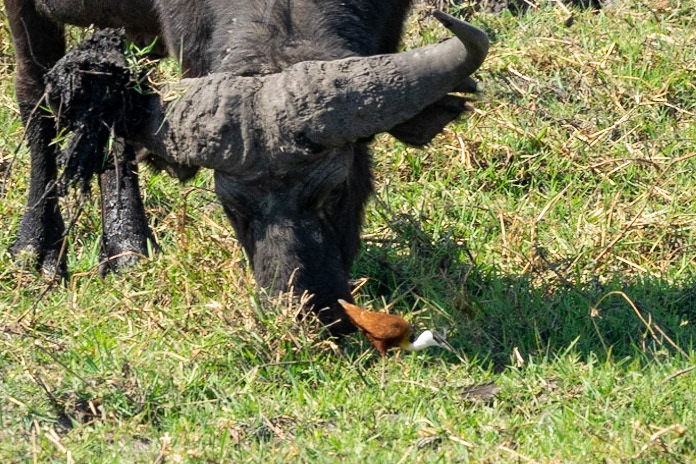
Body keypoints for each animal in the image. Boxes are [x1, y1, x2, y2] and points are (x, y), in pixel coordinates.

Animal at [5, 0, 488, 334]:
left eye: (335, 192)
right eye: (234, 209)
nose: (302, 314)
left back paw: (127, 248)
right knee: (34, 93)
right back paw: (36, 248)